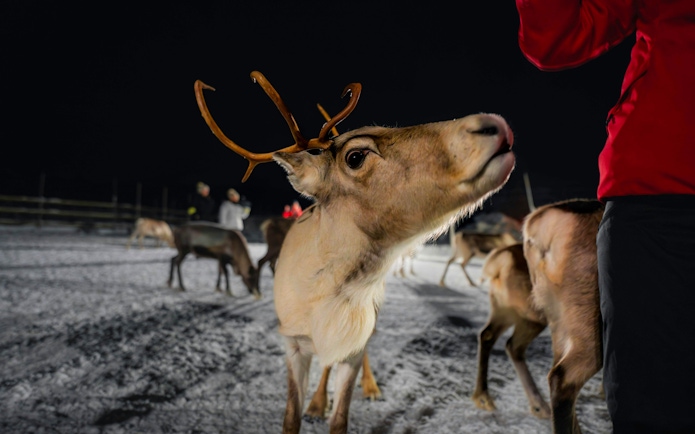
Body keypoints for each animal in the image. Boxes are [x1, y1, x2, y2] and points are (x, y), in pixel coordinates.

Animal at [194, 70, 516, 434]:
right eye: (356, 156)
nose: (493, 124)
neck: (326, 302)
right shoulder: (293, 344)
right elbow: (291, 416)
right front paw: (312, 407)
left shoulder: (354, 341)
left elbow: (341, 417)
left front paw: (350, 397)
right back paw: (318, 403)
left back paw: (369, 388)